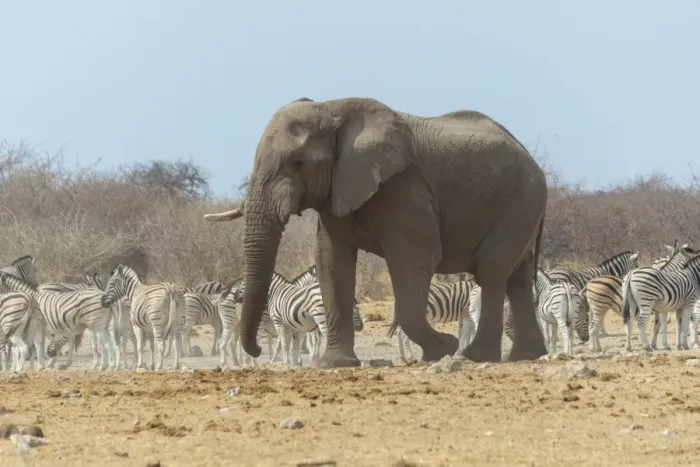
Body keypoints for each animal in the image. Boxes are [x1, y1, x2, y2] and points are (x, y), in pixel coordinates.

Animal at [205, 96, 548, 367]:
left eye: (297, 161)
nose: (257, 350)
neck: (330, 109)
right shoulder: (338, 188)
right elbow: (331, 261)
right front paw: (334, 364)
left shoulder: (403, 186)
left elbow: (416, 258)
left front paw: (442, 350)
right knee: (516, 275)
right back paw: (526, 356)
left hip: (521, 199)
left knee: (492, 270)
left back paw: (475, 357)